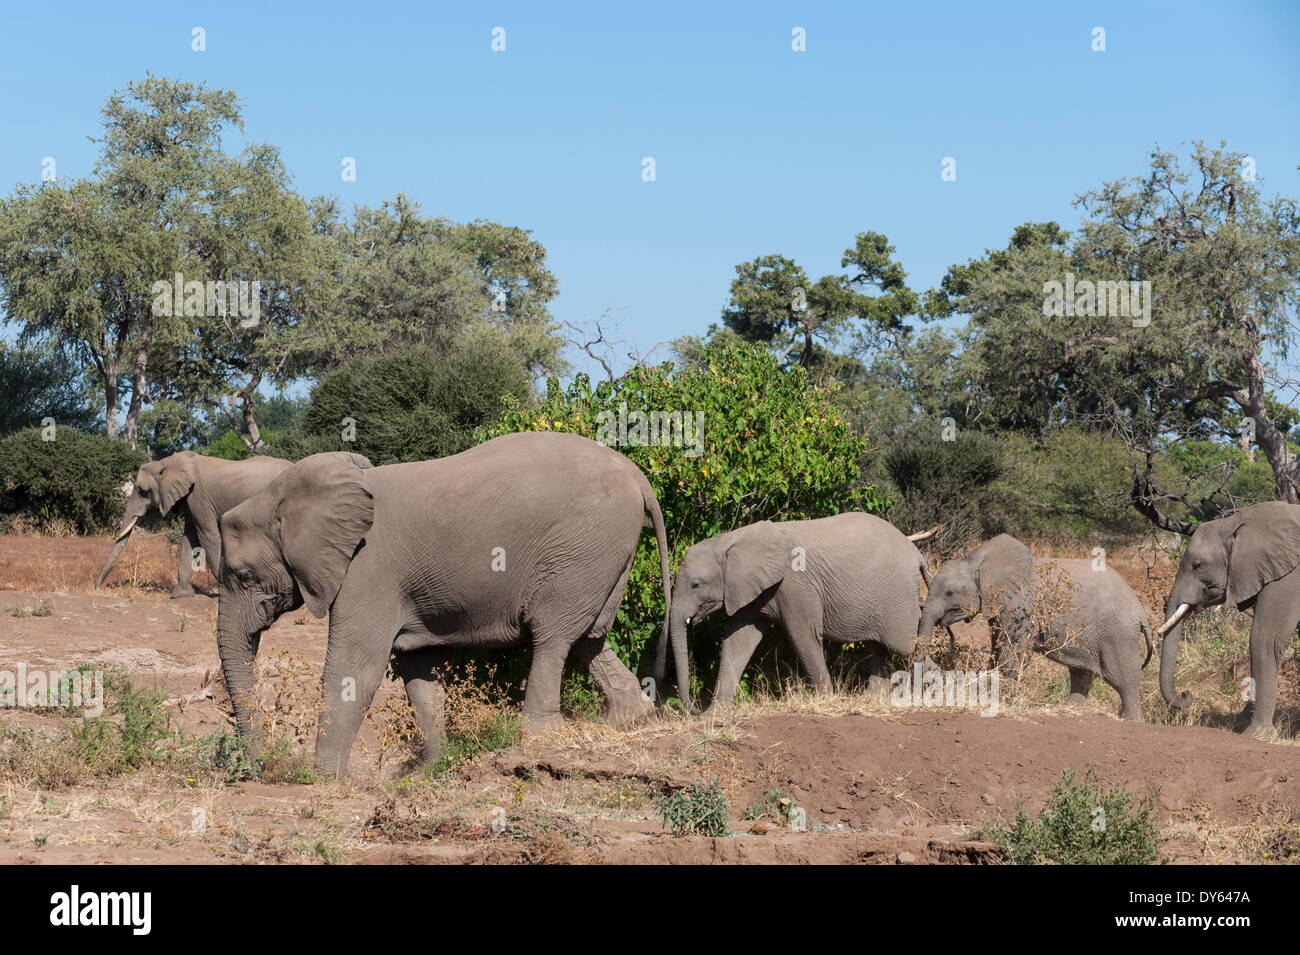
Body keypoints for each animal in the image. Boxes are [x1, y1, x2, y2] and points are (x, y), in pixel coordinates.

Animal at [96, 451, 291, 597]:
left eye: (143, 491)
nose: (97, 586)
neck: (166, 463)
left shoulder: (200, 498)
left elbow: (208, 535)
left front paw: (222, 590)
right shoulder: (189, 499)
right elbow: (190, 537)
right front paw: (180, 595)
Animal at [214, 431, 671, 776]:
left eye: (244, 576)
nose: (260, 765)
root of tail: (638, 476)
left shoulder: (369, 569)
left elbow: (354, 669)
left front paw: (324, 780)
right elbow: (420, 670)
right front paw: (431, 769)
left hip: (580, 547)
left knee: (554, 635)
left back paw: (539, 735)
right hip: (602, 554)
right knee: (590, 636)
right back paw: (629, 719)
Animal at [657, 512, 930, 714]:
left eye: (696, 585)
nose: (694, 708)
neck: (731, 539)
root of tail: (917, 554)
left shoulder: (796, 584)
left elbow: (803, 635)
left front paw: (826, 700)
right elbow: (738, 641)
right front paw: (714, 714)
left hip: (898, 599)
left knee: (907, 645)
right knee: (879, 648)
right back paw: (872, 698)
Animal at [918, 534, 1151, 720]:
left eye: (949, 593)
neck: (978, 560)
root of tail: (1141, 612)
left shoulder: (1020, 605)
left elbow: (1012, 652)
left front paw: (1003, 700)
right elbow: (997, 648)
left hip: (1118, 635)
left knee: (1123, 679)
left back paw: (1131, 721)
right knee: (1081, 673)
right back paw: (1069, 711)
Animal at [1157, 500, 1300, 739]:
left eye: (1198, 565)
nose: (1187, 693)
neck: (1234, 522)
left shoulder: (1289, 577)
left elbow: (1265, 638)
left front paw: (1256, 735)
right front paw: (1242, 722)